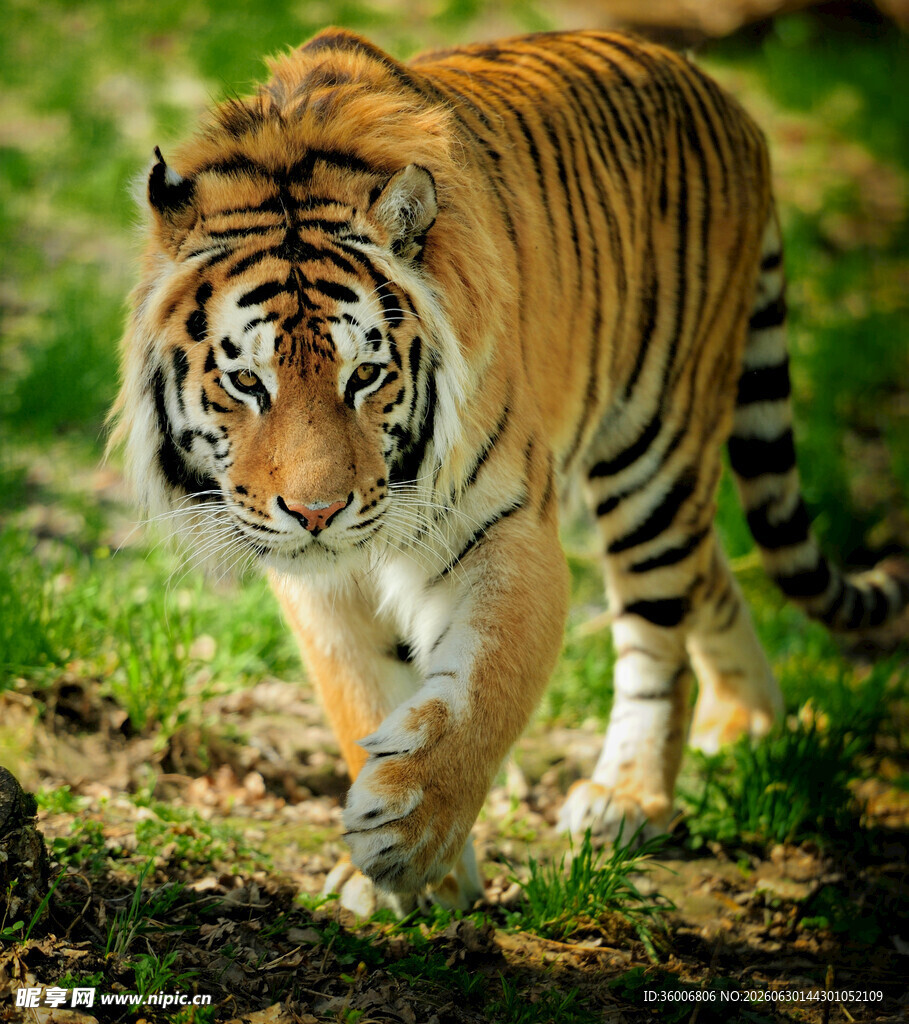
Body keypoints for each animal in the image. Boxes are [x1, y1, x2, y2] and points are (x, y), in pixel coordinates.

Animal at [110, 26, 909, 914]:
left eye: (365, 376)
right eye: (247, 382)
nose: (317, 512)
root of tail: (723, 96)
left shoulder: (506, 528)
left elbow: (485, 686)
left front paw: (409, 833)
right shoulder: (319, 580)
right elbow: (363, 692)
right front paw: (396, 877)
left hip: (656, 450)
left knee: (658, 628)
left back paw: (630, 796)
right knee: (709, 573)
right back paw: (746, 722)